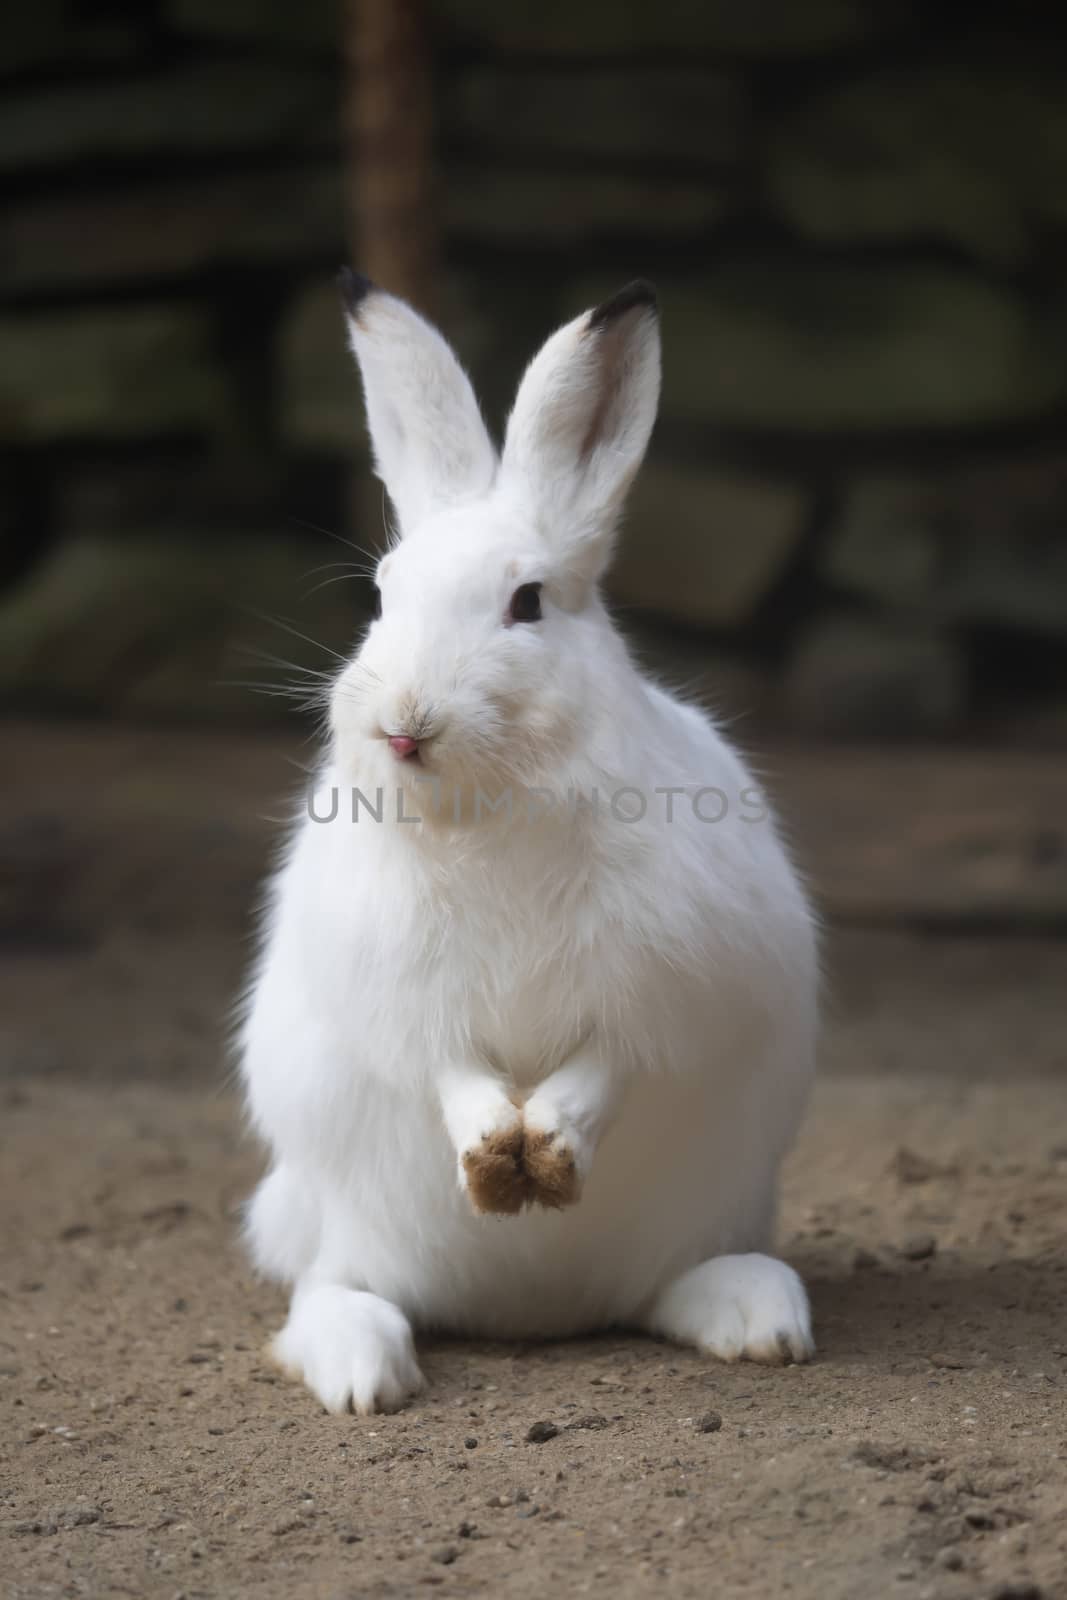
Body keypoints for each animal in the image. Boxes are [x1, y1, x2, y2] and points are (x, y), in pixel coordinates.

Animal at [239, 272, 819, 1414]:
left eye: (526, 603)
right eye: (381, 597)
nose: (404, 723)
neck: (489, 811)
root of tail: (533, 1316)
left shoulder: (663, 994)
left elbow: (604, 1066)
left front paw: (542, 1151)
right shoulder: (406, 1006)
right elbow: (450, 1071)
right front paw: (491, 1153)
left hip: (708, 1212)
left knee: (679, 1288)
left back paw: (761, 1322)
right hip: (335, 1219)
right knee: (339, 1294)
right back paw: (364, 1374)